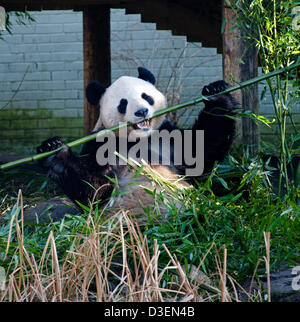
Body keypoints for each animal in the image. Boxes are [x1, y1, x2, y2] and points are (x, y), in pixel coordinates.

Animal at [37, 66, 237, 215]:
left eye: (146, 96)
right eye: (123, 103)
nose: (142, 112)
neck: (137, 140)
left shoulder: (166, 137)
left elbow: (201, 153)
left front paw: (217, 92)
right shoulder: (99, 145)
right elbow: (93, 192)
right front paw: (54, 153)